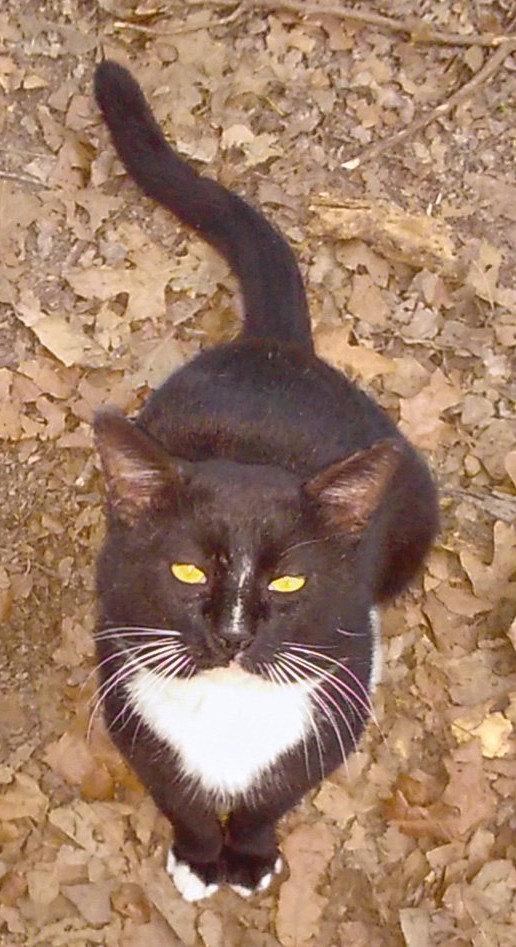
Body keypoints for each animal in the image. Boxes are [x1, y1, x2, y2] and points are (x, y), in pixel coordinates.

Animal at [92, 61, 440, 904]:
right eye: (187, 569)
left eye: (287, 583)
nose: (234, 634)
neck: (227, 708)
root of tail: (276, 346)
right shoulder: (124, 693)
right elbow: (177, 792)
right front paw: (198, 857)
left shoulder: (337, 700)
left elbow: (272, 794)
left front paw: (246, 857)